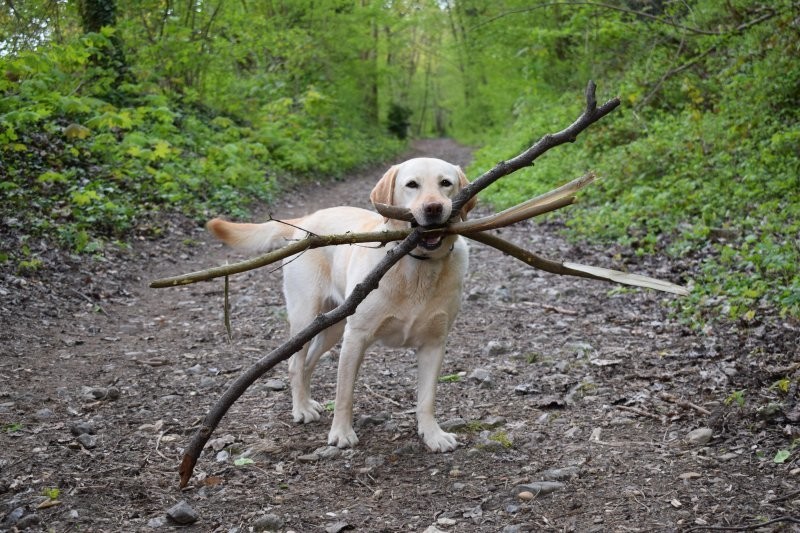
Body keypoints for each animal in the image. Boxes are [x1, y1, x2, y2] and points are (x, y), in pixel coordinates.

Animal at [206, 156, 478, 450]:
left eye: (446, 183)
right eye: (412, 185)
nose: (433, 208)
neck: (417, 267)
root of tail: (307, 219)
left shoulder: (434, 343)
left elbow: (427, 398)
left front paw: (433, 434)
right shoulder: (356, 338)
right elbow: (344, 394)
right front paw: (341, 433)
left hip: (332, 327)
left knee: (308, 364)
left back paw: (308, 402)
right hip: (306, 317)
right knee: (295, 365)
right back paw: (301, 408)